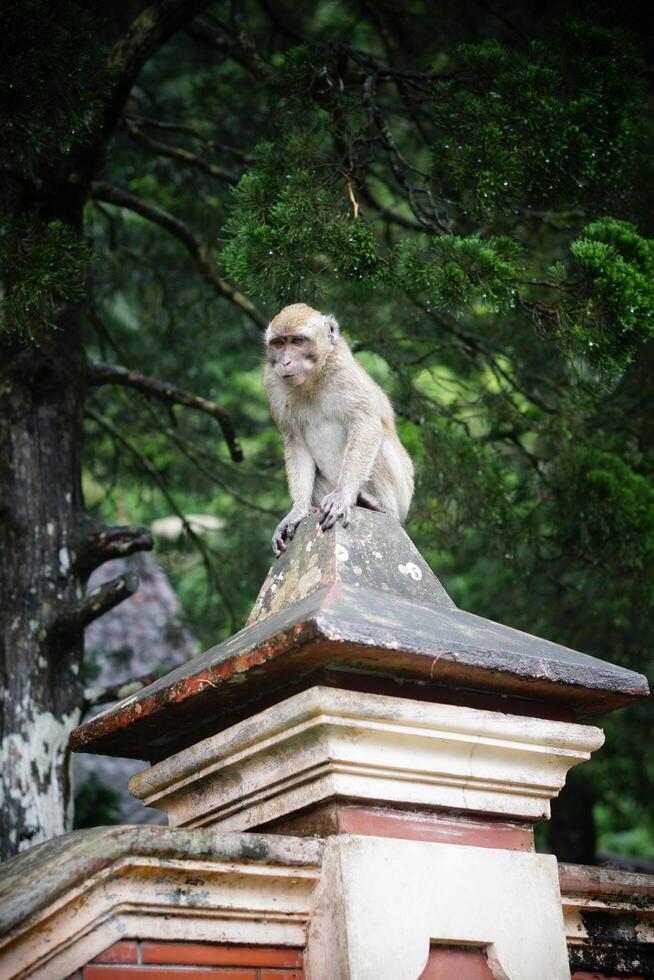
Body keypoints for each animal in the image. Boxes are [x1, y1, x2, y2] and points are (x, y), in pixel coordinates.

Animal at [262, 302, 412, 556]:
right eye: (279, 343)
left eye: (298, 341)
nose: (286, 362)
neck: (312, 380)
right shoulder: (272, 380)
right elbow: (296, 442)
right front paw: (297, 512)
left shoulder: (343, 368)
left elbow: (366, 422)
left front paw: (342, 496)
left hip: (403, 493)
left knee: (377, 440)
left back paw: (380, 506)